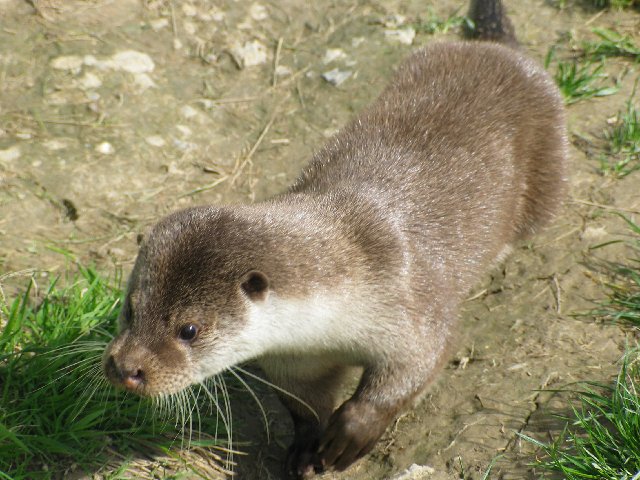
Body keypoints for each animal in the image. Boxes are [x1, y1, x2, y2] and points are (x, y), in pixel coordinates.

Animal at [102, 0, 568, 476]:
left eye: (189, 329)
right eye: (130, 308)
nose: (126, 367)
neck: (346, 283)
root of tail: (499, 52)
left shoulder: (411, 302)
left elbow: (415, 367)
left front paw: (350, 434)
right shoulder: (293, 360)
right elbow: (305, 404)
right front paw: (306, 446)